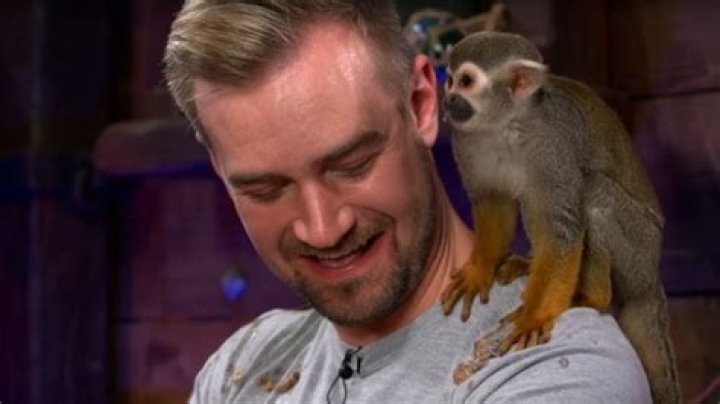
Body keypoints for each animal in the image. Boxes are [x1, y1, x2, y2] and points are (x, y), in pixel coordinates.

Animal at [440, 31, 681, 404]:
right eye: (449, 79)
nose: (448, 97)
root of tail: (651, 277)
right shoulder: (465, 139)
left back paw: (590, 297)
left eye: (466, 82)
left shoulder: (555, 148)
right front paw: (480, 270)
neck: (506, 126)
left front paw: (533, 317)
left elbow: (563, 227)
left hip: (639, 244)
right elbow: (493, 200)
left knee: (592, 196)